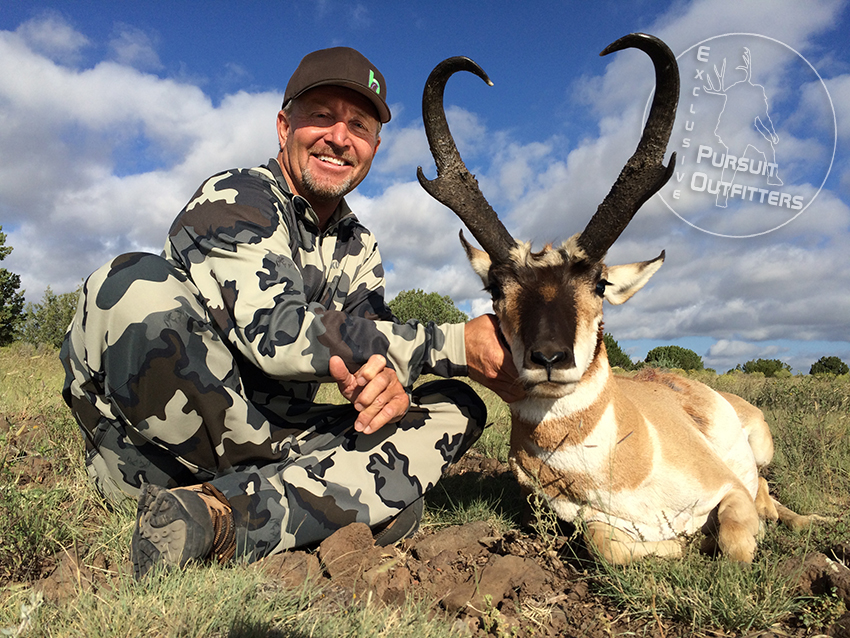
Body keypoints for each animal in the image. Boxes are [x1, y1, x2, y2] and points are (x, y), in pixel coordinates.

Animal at [418, 33, 816, 564]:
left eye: (601, 284)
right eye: (496, 288)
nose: (550, 358)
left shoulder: (729, 489)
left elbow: (735, 540)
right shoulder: (590, 527)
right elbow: (609, 544)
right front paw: (678, 543)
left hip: (762, 448)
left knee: (768, 494)